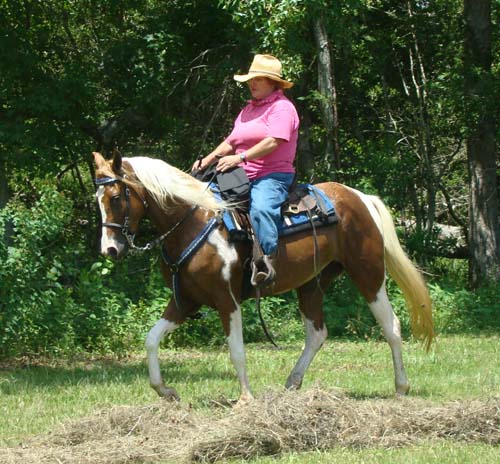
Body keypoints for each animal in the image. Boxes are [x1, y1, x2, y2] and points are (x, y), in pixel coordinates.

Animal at [93, 151, 434, 402]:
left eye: (117, 196)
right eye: (98, 199)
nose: (109, 249)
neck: (193, 220)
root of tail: (360, 198)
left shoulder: (226, 299)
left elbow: (236, 351)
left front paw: (245, 399)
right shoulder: (185, 300)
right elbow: (151, 340)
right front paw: (165, 391)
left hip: (368, 272)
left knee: (391, 327)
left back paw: (401, 388)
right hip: (312, 283)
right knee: (317, 333)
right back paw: (292, 383)